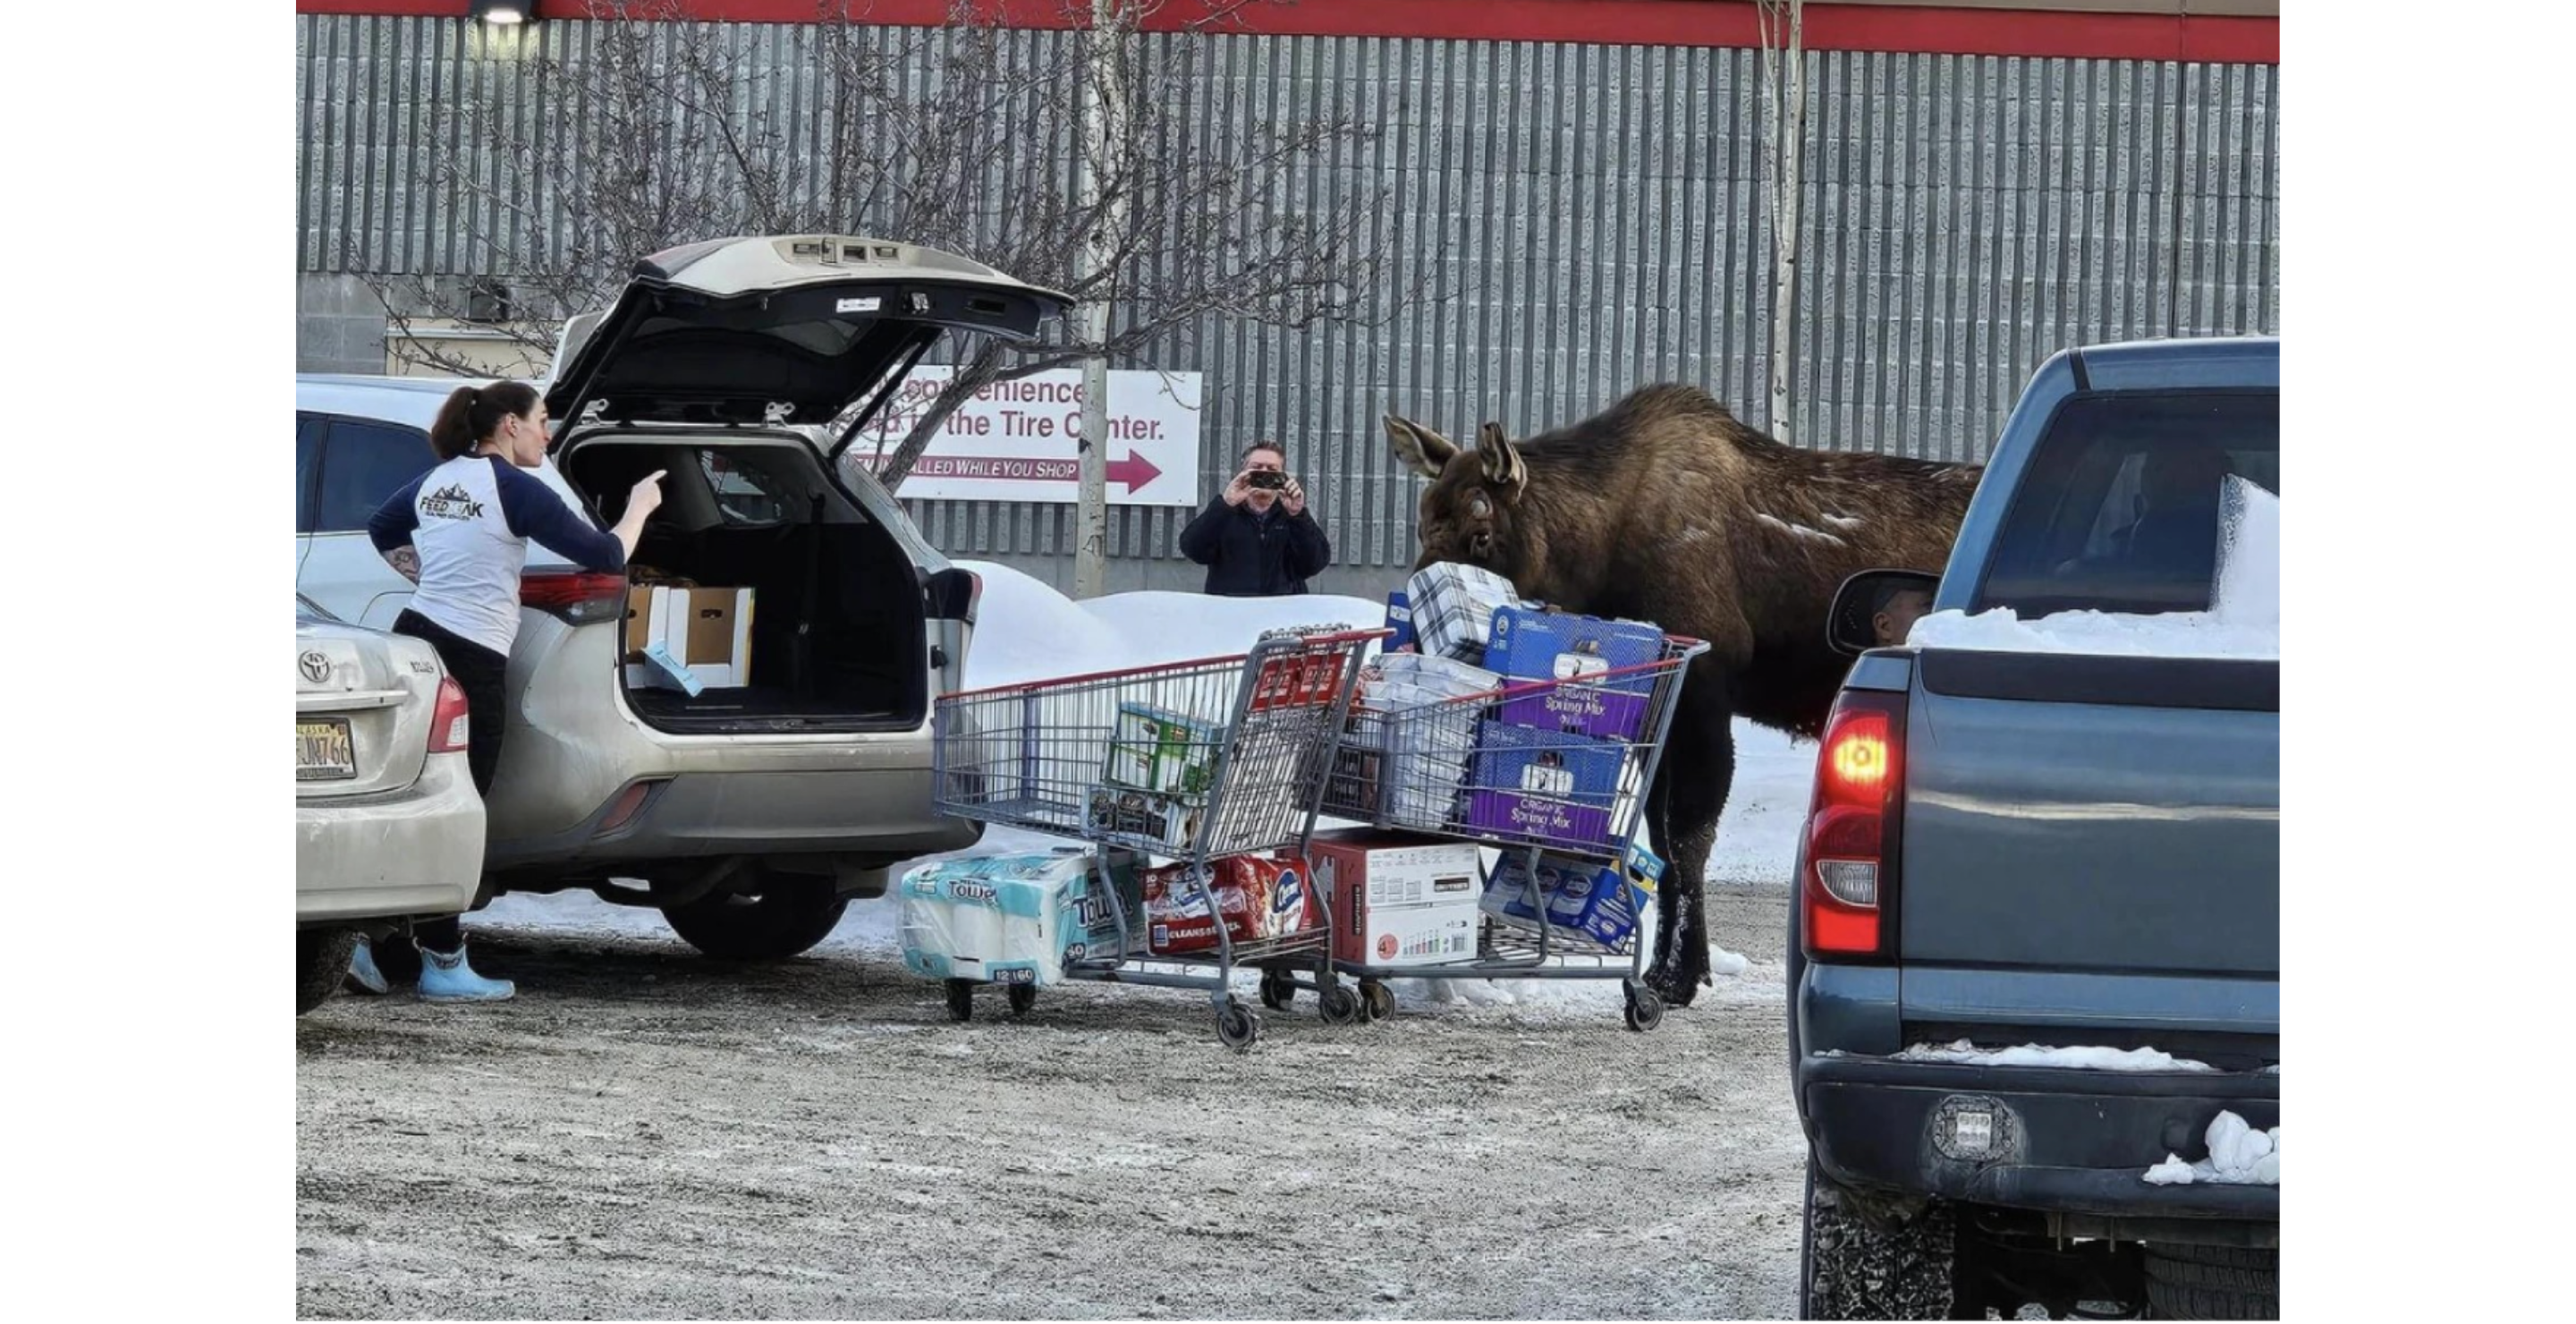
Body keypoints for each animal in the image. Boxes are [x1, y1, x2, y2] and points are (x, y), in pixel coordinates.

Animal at [1391, 381, 1968, 999]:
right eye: (1421, 526)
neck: (1591, 564)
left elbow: (1688, 836)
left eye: (1481, 534)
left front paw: (1678, 976)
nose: (1417, 631)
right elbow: (1660, 843)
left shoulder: (1704, 695)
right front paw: (1668, 966)